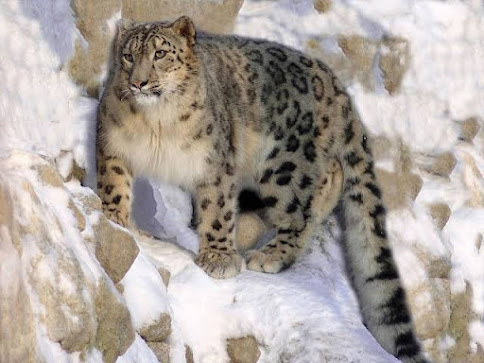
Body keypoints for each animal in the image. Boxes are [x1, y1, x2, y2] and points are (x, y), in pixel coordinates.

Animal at [96, 15, 430, 362]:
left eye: (160, 53)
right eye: (128, 56)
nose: (139, 83)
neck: (156, 123)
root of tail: (336, 84)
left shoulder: (216, 163)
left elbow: (218, 210)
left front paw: (218, 258)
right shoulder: (113, 144)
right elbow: (114, 184)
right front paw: (114, 218)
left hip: (285, 165)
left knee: (304, 204)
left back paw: (271, 254)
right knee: (332, 177)